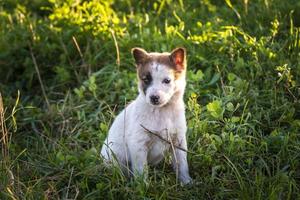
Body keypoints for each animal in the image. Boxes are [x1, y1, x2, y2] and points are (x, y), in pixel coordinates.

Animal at [101, 47, 192, 184]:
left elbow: (182, 164)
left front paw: (186, 182)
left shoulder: (178, 140)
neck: (161, 112)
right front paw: (143, 186)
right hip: (114, 159)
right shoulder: (138, 144)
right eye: (146, 79)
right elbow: (141, 170)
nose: (154, 98)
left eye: (167, 81)